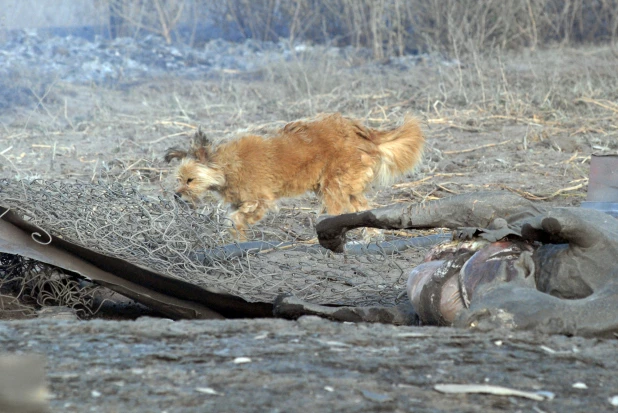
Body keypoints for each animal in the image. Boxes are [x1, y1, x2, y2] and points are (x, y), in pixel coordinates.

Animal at [164, 112, 424, 238]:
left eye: (190, 180)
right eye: (179, 179)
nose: (177, 196)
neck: (226, 165)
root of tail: (362, 132)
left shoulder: (260, 201)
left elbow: (236, 218)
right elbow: (234, 222)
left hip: (333, 188)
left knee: (338, 215)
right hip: (345, 188)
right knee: (364, 210)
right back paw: (371, 237)